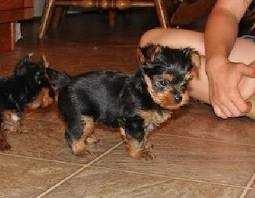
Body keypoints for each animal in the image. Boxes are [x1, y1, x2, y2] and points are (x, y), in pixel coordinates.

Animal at [46, 44, 199, 159]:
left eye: (185, 83)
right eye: (163, 82)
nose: (179, 98)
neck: (146, 93)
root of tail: (66, 81)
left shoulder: (142, 122)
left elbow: (142, 136)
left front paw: (145, 145)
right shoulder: (134, 120)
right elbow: (137, 138)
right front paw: (139, 153)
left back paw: (88, 139)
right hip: (81, 116)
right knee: (73, 132)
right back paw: (80, 150)